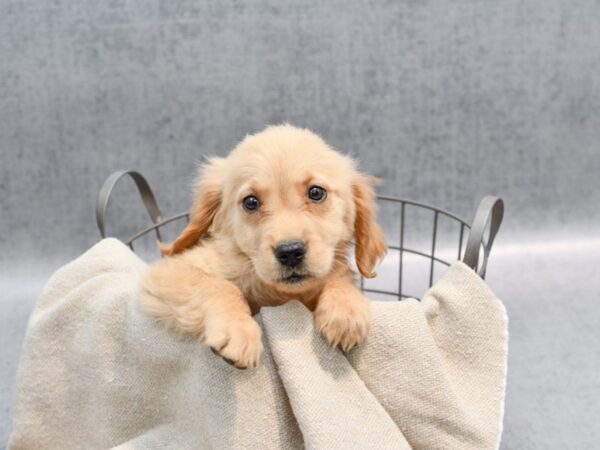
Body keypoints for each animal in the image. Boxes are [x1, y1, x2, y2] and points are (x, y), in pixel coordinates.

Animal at [141, 124, 386, 370]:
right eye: (251, 202)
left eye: (316, 192)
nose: (290, 252)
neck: (279, 294)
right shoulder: (171, 272)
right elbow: (218, 286)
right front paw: (239, 331)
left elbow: (342, 280)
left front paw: (346, 311)